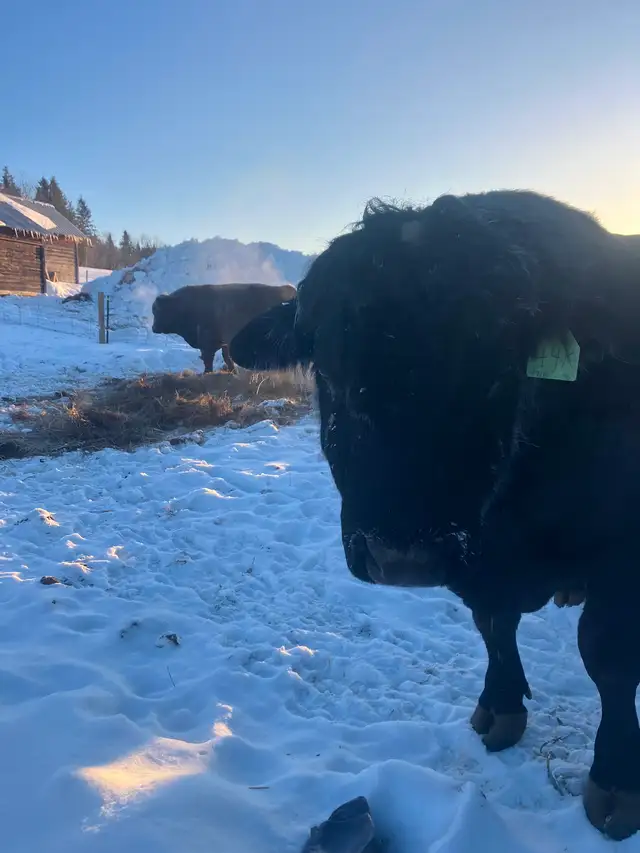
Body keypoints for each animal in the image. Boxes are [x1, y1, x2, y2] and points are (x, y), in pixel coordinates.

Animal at [151, 282, 297, 373]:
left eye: (158, 311)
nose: (154, 328)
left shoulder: (209, 343)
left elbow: (209, 359)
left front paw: (207, 373)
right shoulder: (223, 342)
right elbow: (226, 357)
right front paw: (232, 371)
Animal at [229, 190, 640, 840]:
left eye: (497, 373)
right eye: (331, 371)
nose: (402, 555)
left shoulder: (622, 557)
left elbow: (609, 658)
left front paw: (616, 782)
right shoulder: (478, 565)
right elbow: (493, 626)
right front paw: (499, 707)